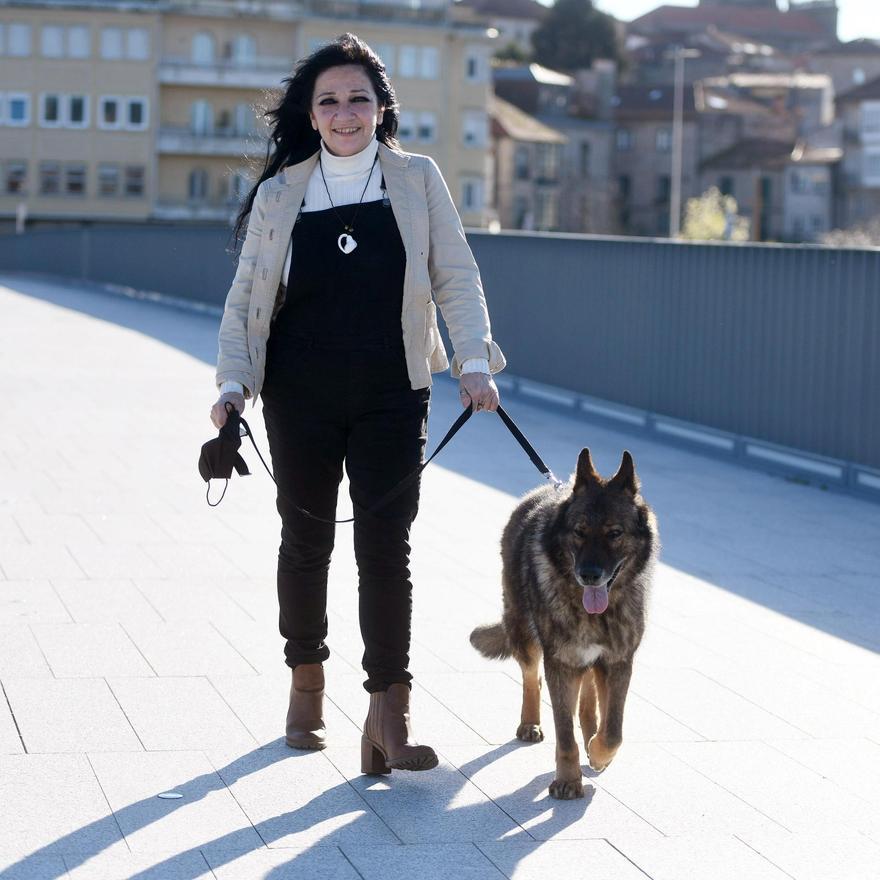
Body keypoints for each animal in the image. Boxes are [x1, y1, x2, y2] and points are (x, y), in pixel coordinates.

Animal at [470, 450, 656, 800]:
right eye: (579, 532)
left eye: (614, 534)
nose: (589, 575)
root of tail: (544, 490)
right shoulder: (561, 662)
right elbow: (565, 734)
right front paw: (569, 780)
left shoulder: (619, 663)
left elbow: (613, 730)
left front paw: (598, 752)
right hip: (525, 635)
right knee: (533, 679)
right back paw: (530, 724)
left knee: (588, 701)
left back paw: (590, 735)